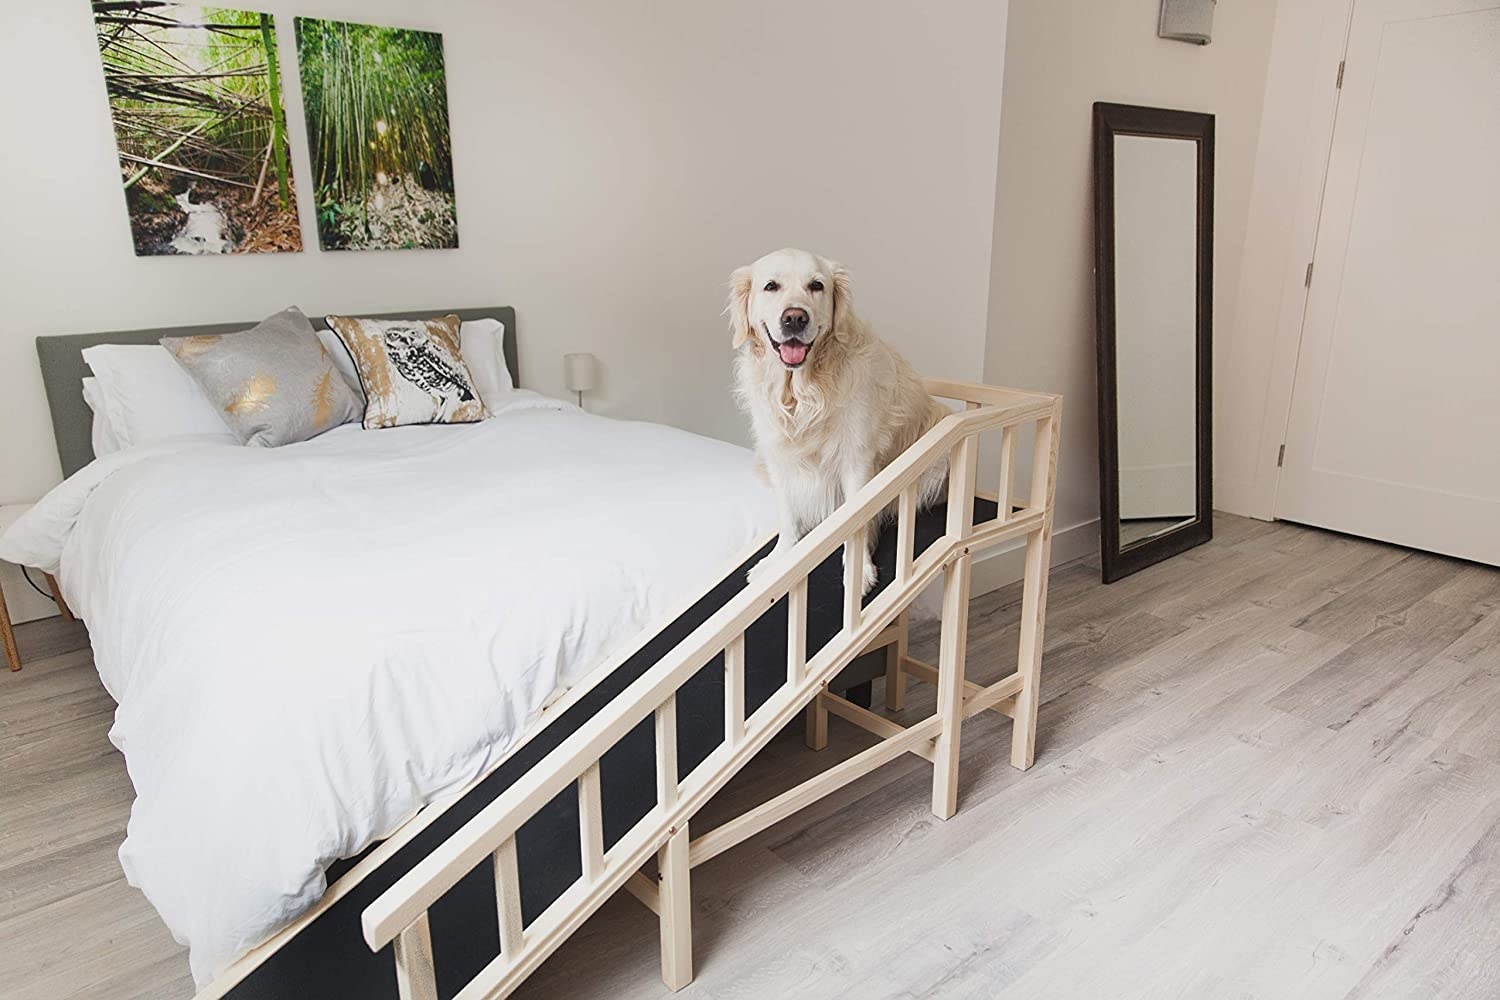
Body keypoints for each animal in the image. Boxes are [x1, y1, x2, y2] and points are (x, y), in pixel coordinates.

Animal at [729, 248, 948, 593]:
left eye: (816, 285)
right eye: (771, 286)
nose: (795, 317)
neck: (802, 394)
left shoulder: (857, 458)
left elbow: (857, 521)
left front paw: (860, 571)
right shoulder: (778, 458)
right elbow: (788, 517)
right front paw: (779, 559)